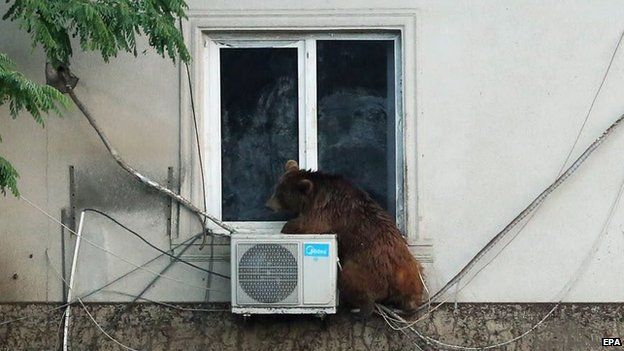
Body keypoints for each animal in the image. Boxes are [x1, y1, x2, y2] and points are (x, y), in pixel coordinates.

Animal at [266, 161, 422, 318]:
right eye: (277, 188)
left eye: (281, 193)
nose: (268, 205)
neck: (315, 194)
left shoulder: (327, 211)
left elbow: (310, 224)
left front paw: (288, 225)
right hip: (409, 269)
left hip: (364, 266)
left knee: (352, 282)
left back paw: (358, 309)